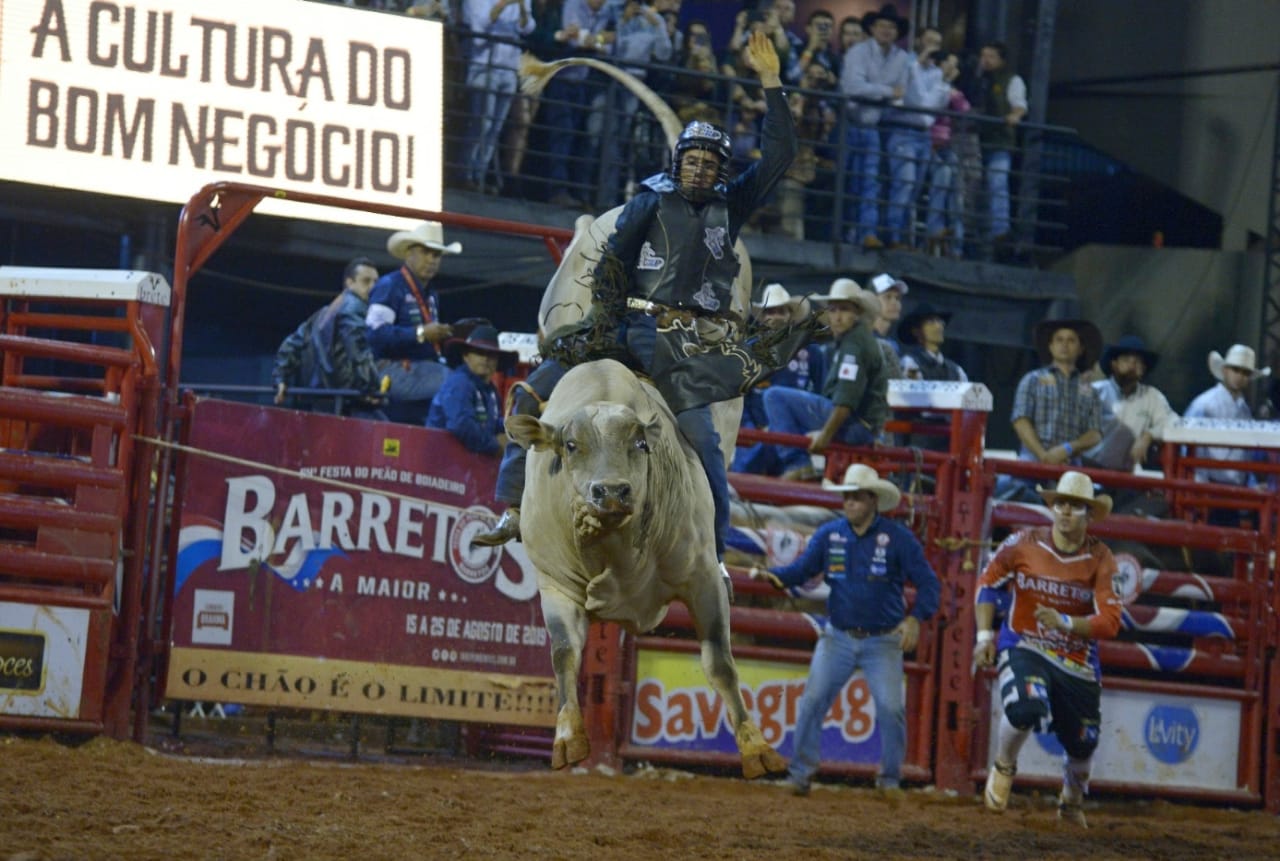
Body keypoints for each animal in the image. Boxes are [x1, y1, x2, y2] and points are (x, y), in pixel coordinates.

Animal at [504, 358, 783, 777]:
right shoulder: (556, 586)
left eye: (639, 444)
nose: (611, 491)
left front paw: (757, 748)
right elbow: (565, 653)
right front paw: (568, 739)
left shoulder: (703, 579)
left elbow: (720, 662)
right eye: (570, 445)